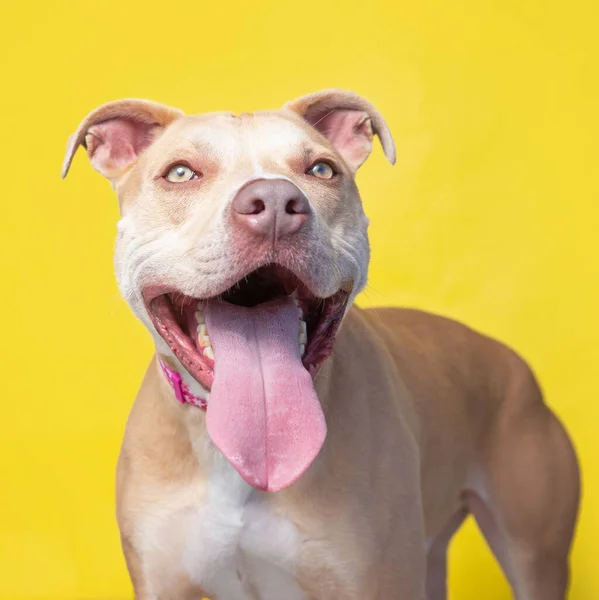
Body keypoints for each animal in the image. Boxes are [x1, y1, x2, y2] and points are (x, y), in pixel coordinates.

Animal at [62, 90, 580, 600]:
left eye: (322, 170)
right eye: (181, 173)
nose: (273, 200)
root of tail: (512, 360)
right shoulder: (161, 581)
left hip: (534, 555)